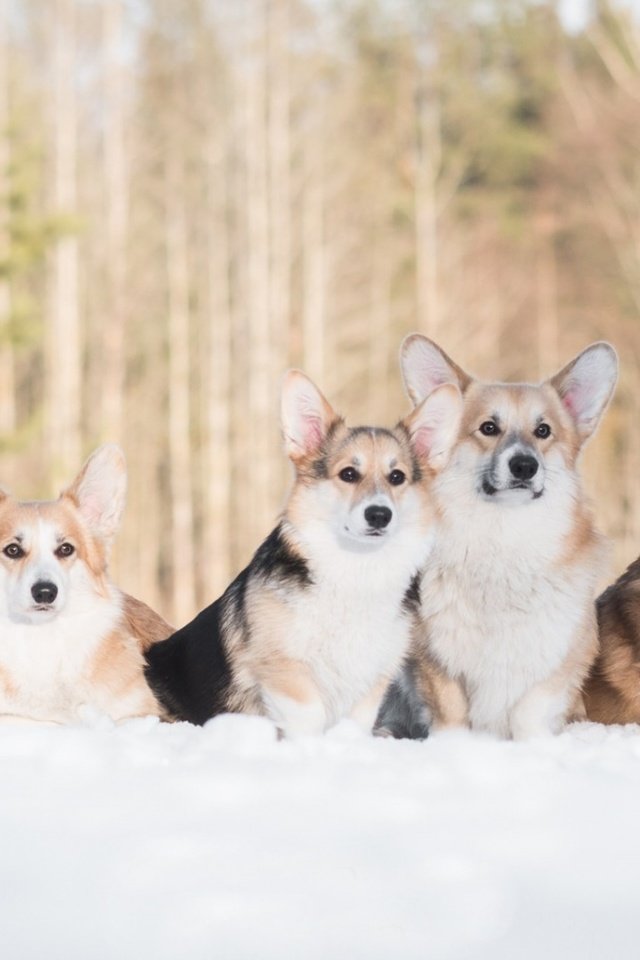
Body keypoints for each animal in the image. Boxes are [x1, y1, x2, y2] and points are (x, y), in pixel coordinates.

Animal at [146, 368, 464, 736]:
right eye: (348, 474)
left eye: (397, 477)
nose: (379, 515)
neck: (356, 570)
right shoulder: (286, 669)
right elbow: (308, 717)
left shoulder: (370, 683)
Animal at [380, 338, 620, 744]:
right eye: (488, 427)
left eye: (543, 430)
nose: (524, 466)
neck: (503, 539)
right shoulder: (435, 660)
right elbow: (451, 713)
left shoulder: (560, 658)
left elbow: (529, 710)